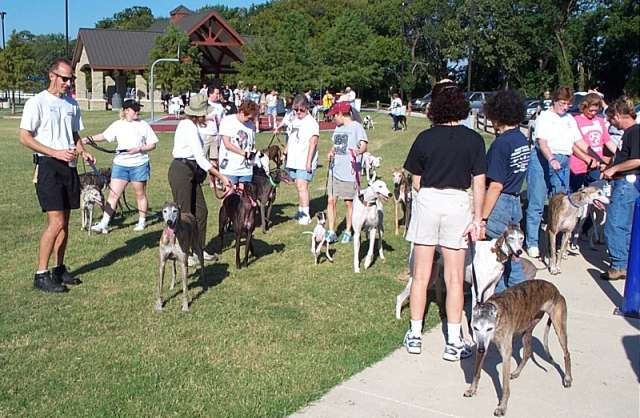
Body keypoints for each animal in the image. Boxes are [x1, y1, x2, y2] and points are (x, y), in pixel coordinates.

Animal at [462, 280, 572, 416]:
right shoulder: (482, 345)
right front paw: (472, 390)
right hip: (527, 329)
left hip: (559, 327)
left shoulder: (505, 354)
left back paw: (567, 378)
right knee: (527, 352)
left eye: (489, 328)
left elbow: (505, 386)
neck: (497, 314)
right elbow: (476, 372)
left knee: (567, 353)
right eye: (475, 328)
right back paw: (516, 372)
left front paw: (502, 407)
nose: (481, 349)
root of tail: (555, 289)